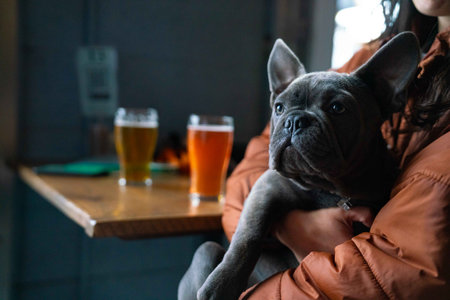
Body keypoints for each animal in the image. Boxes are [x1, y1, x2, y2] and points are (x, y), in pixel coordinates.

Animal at [185, 31, 420, 298]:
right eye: (279, 107)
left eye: (337, 108)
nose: (295, 120)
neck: (329, 188)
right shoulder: (266, 188)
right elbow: (248, 235)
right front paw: (222, 284)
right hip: (206, 250)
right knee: (209, 249)